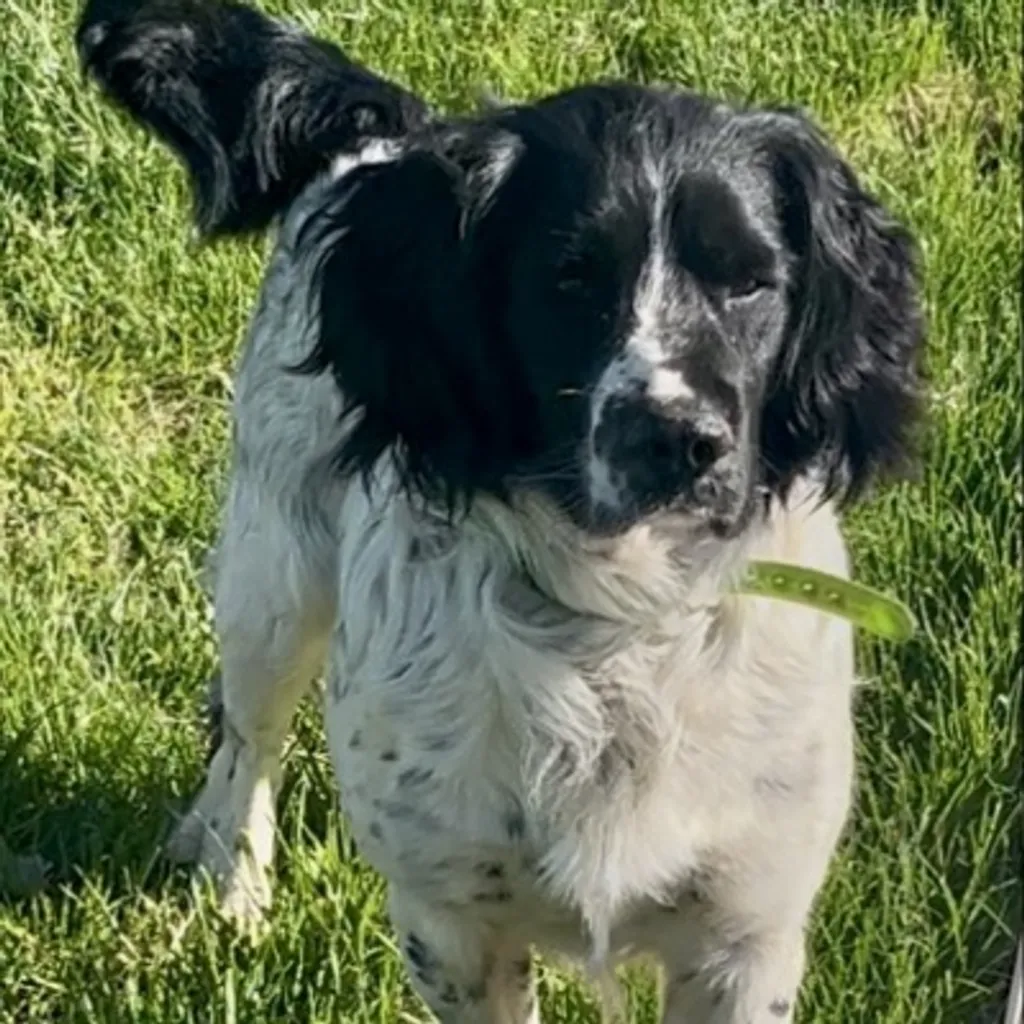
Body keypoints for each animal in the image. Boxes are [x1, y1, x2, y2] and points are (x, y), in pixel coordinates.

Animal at [78, 2, 926, 1021]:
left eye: (750, 280)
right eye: (568, 280)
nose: (678, 440)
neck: (615, 629)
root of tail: (391, 137)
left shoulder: (743, 939)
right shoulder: (454, 927)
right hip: (272, 583)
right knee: (249, 738)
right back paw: (231, 876)